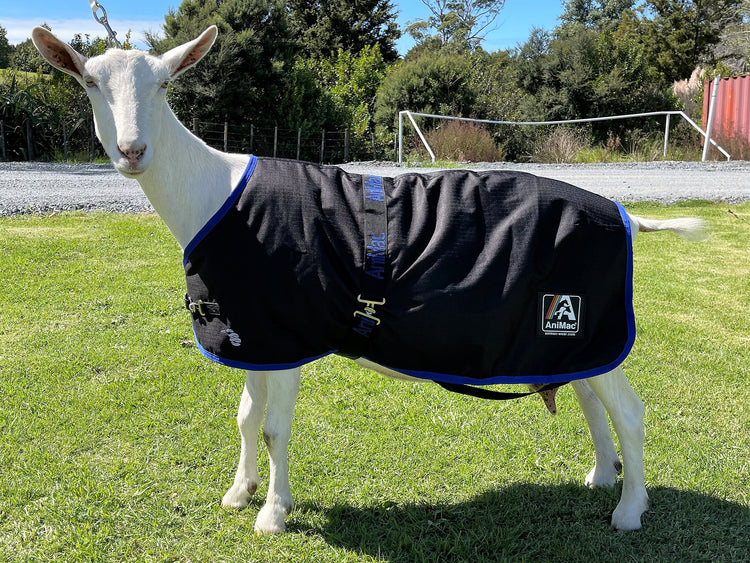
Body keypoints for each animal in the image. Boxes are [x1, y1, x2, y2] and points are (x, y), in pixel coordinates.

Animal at [32, 25, 705, 534]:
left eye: (165, 84)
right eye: (89, 82)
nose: (132, 151)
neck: (215, 196)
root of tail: (626, 215)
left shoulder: (292, 331)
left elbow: (273, 427)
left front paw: (272, 515)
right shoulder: (255, 328)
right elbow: (247, 417)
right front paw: (239, 493)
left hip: (585, 317)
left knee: (630, 411)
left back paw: (628, 510)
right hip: (572, 335)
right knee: (593, 399)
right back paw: (601, 476)